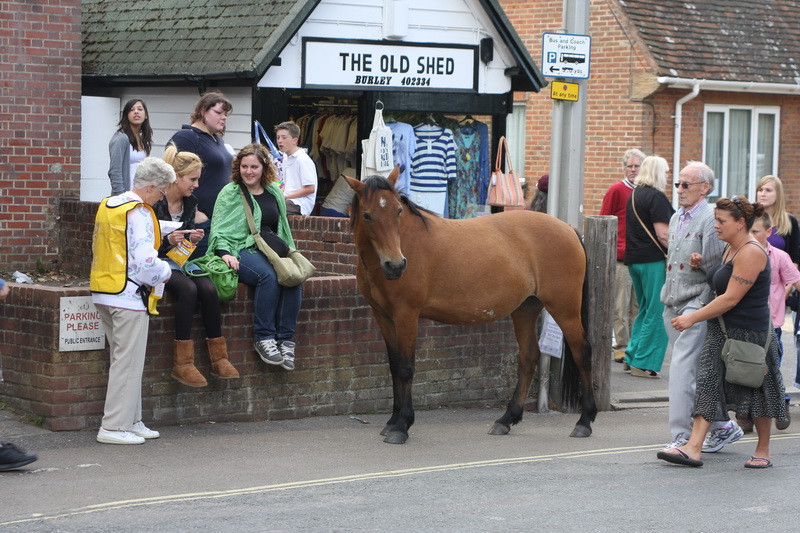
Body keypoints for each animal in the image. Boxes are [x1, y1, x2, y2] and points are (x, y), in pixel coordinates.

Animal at [344, 168, 592, 442]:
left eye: (398, 210)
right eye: (367, 215)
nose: (396, 266)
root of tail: (569, 228)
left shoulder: (406, 315)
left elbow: (406, 368)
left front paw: (402, 425)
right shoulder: (384, 316)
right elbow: (394, 366)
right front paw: (392, 420)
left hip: (565, 309)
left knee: (582, 353)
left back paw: (584, 421)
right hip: (525, 309)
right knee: (529, 357)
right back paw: (506, 419)